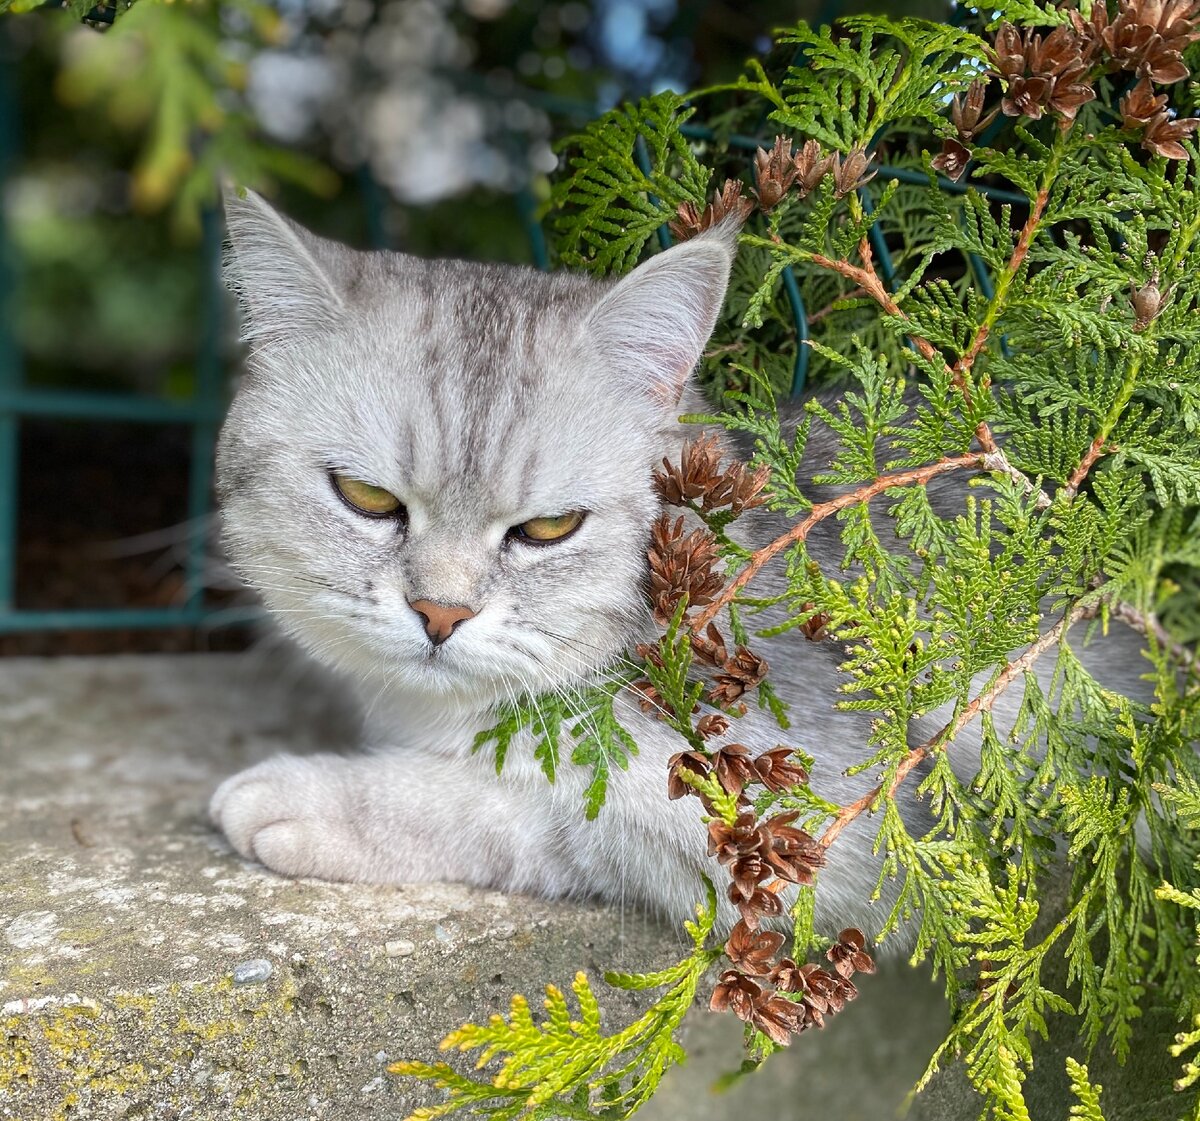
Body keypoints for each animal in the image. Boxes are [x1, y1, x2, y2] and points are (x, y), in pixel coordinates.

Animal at [211, 190, 1147, 945]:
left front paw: (318, 796)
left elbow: (523, 804)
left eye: (549, 527)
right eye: (367, 497)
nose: (440, 613)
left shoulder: (811, 842)